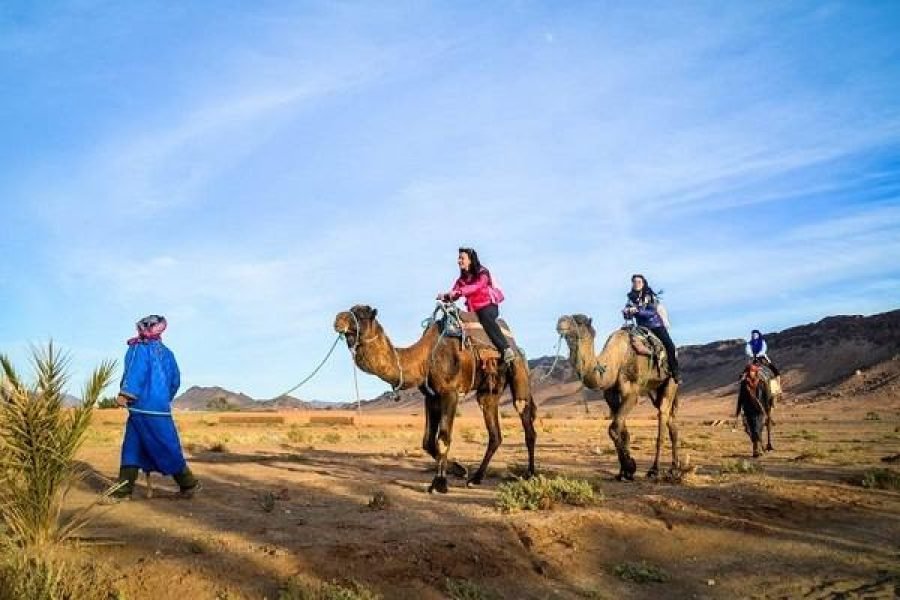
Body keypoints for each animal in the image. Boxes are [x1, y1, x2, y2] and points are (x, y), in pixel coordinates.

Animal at [336, 304, 536, 492]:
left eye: (362, 314)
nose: (338, 319)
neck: (425, 358)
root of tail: (517, 348)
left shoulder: (450, 393)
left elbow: (443, 437)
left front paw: (439, 483)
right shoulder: (431, 397)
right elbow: (427, 442)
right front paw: (460, 469)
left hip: (518, 372)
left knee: (525, 417)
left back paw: (530, 474)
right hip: (489, 391)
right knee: (494, 433)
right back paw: (476, 478)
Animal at [556, 314, 684, 478]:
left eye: (579, 321)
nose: (561, 321)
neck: (616, 361)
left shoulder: (632, 393)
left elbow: (613, 428)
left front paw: (629, 466)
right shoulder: (610, 396)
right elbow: (622, 431)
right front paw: (624, 471)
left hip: (671, 381)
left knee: (662, 414)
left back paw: (654, 470)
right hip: (655, 388)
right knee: (671, 422)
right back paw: (674, 468)